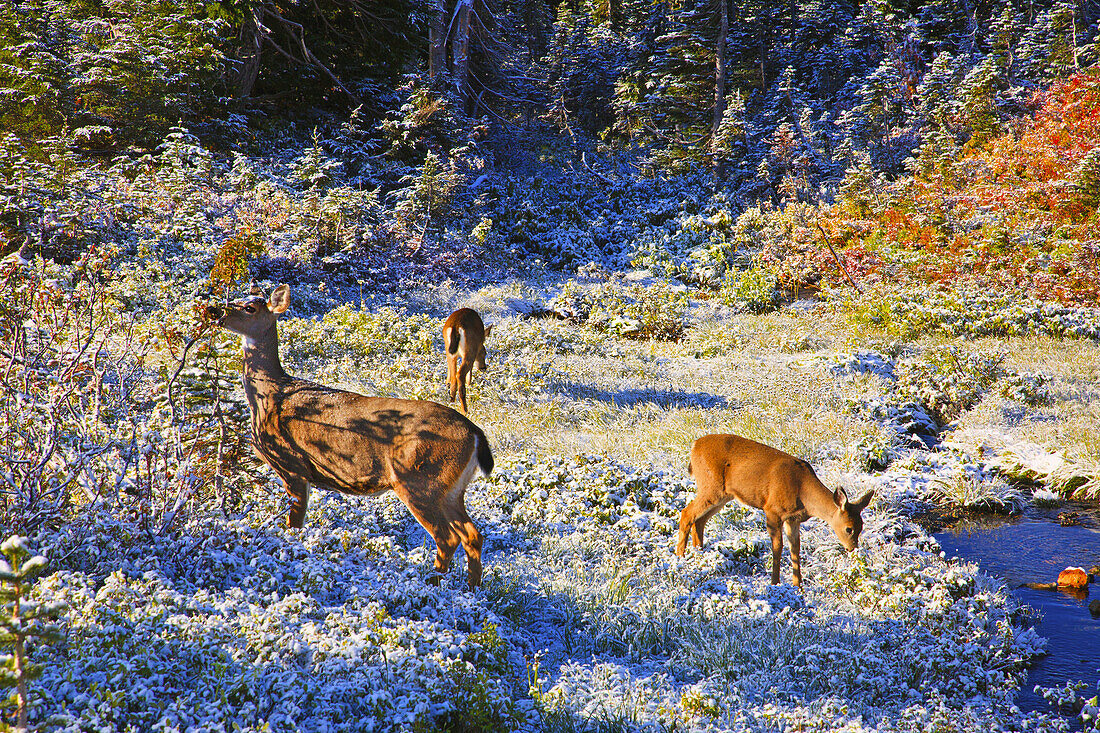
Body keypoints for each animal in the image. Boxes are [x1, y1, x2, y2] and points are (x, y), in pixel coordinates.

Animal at [673, 431, 871, 585]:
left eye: (861, 527)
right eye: (849, 528)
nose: (853, 549)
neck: (802, 491)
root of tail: (694, 445)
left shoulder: (793, 519)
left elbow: (795, 549)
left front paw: (798, 586)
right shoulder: (772, 510)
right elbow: (778, 547)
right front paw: (775, 582)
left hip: (723, 495)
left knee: (699, 520)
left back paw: (699, 554)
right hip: (710, 486)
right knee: (686, 513)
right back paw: (679, 558)